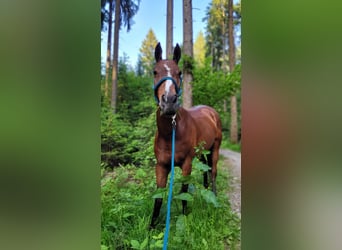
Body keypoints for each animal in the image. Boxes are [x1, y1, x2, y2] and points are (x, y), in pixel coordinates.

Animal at [150, 43, 222, 229]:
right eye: (155, 71)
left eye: (179, 72)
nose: (169, 101)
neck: (172, 134)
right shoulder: (161, 166)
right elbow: (158, 197)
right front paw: (151, 227)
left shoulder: (186, 164)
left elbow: (183, 192)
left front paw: (184, 218)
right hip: (203, 152)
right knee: (206, 170)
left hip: (215, 148)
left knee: (213, 172)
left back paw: (213, 195)